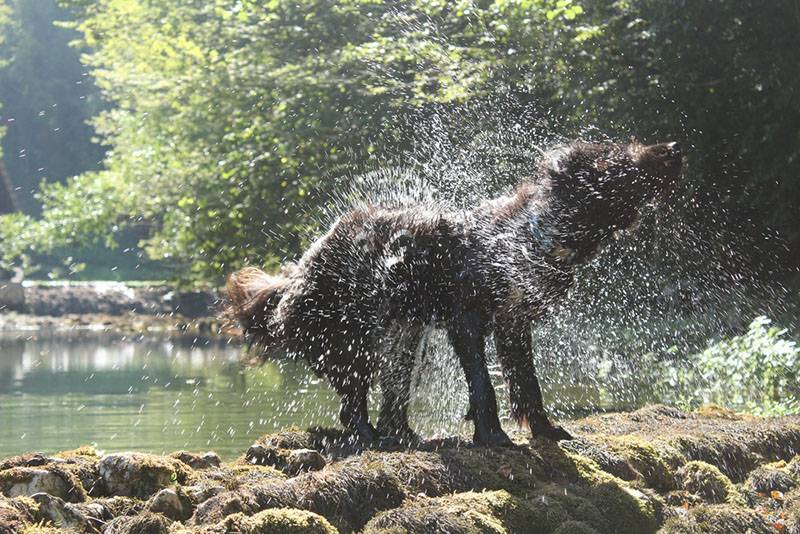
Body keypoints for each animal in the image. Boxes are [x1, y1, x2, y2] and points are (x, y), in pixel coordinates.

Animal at [225, 141, 680, 448]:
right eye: (615, 158)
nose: (673, 149)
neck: (528, 235)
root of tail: (297, 273)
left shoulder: (514, 323)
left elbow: (527, 384)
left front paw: (545, 430)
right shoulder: (467, 322)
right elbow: (483, 384)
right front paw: (493, 436)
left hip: (406, 336)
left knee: (389, 400)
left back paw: (404, 436)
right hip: (352, 339)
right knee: (351, 405)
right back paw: (374, 437)